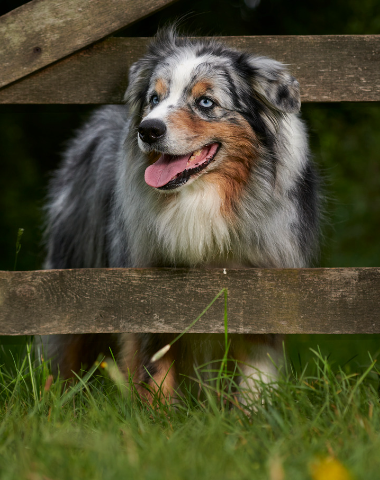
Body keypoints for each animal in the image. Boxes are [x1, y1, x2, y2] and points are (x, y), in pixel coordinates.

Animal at [43, 29, 320, 404]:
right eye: (153, 98)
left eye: (206, 102)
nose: (147, 130)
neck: (201, 199)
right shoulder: (148, 296)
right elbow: (155, 375)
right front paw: (159, 416)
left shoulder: (261, 293)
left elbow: (254, 379)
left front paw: (253, 415)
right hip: (72, 273)